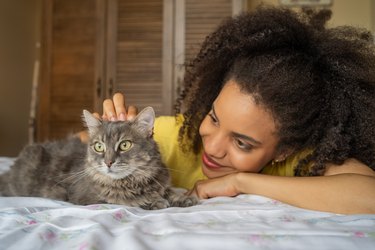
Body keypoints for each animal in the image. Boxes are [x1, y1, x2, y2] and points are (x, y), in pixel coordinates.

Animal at [0, 107, 198, 209]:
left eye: (125, 145)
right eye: (99, 147)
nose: (108, 162)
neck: (134, 181)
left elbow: (169, 191)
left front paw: (183, 198)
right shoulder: (88, 198)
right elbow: (126, 200)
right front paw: (156, 202)